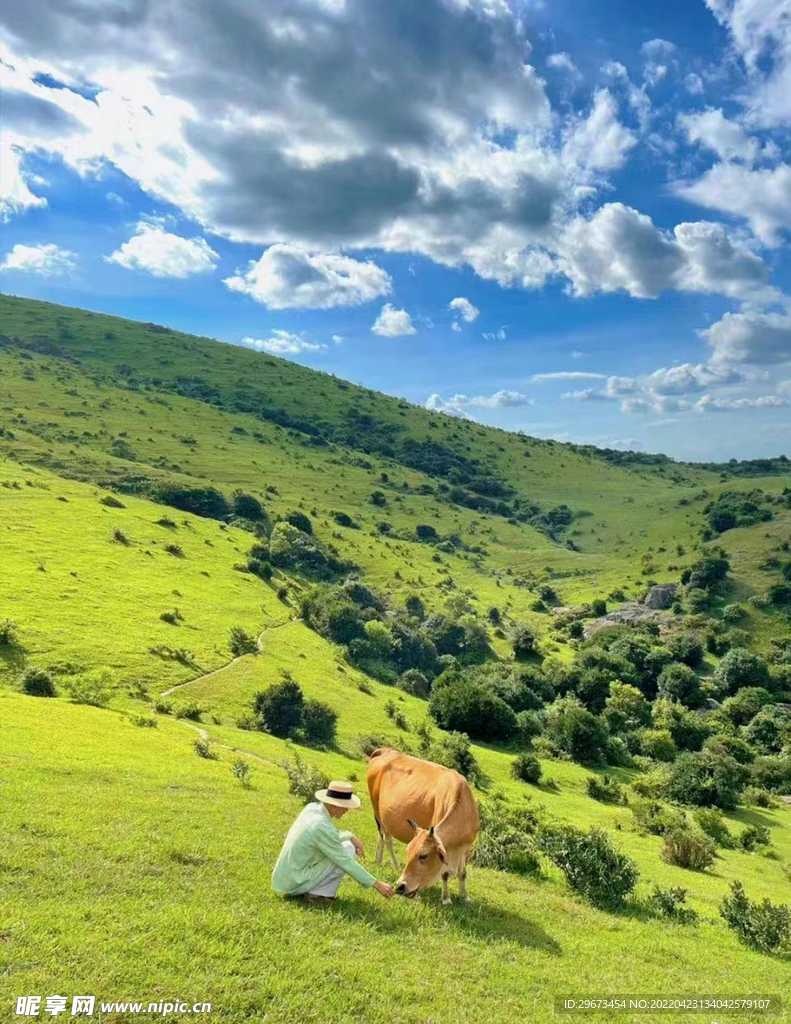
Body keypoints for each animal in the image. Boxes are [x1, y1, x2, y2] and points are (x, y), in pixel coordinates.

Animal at [366, 745, 479, 905]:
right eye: (408, 853)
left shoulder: (467, 847)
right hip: (376, 808)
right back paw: (394, 865)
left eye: (423, 855)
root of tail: (385, 751)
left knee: (381, 836)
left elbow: (463, 873)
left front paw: (465, 896)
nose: (400, 886)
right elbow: (445, 874)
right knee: (386, 838)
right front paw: (446, 898)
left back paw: (378, 861)